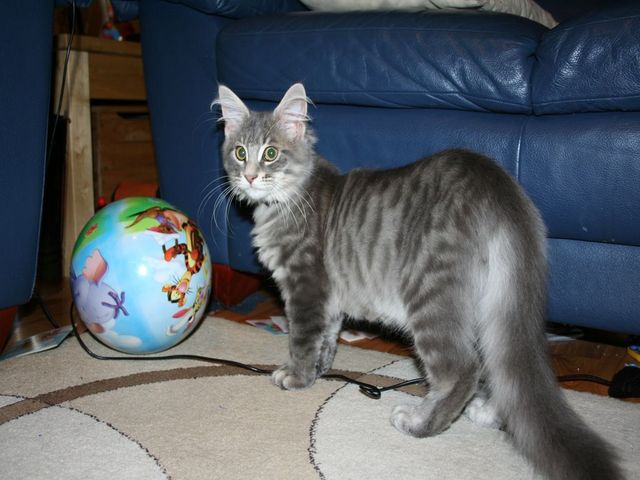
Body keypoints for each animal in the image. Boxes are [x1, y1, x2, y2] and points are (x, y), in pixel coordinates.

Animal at [214, 83, 620, 480]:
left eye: (270, 153)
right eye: (239, 152)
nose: (249, 176)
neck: (289, 200)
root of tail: (496, 184)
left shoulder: (306, 287)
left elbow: (301, 340)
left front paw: (296, 377)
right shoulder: (329, 298)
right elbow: (326, 340)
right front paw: (319, 371)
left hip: (429, 296)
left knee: (463, 369)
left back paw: (421, 423)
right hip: (490, 305)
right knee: (497, 363)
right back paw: (489, 412)